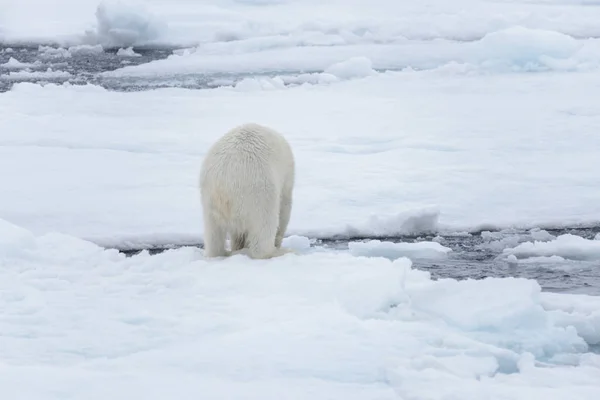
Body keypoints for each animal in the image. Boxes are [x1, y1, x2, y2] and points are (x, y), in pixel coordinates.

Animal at [202, 122, 296, 260]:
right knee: (264, 226)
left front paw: (238, 245)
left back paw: (219, 253)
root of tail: (224, 183)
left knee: (213, 234)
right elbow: (285, 208)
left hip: (209, 198)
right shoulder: (286, 177)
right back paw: (279, 252)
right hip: (258, 192)